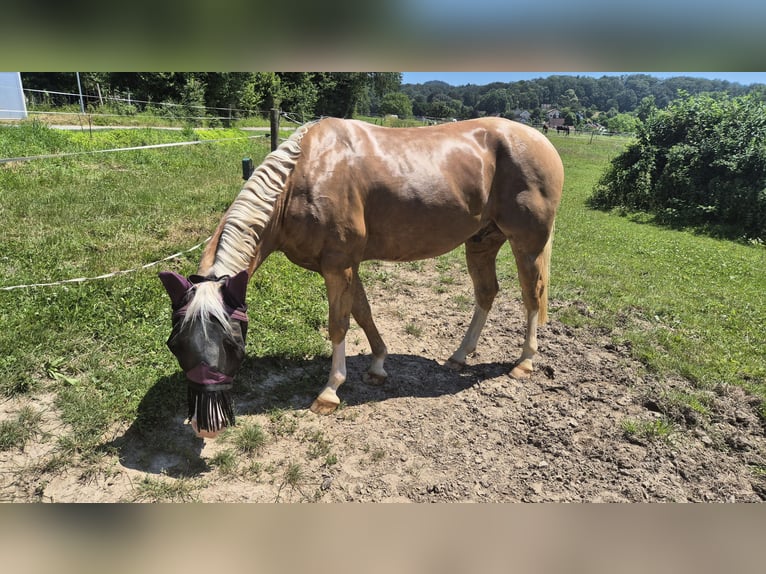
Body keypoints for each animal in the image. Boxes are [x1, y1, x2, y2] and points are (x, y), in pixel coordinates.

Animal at [159, 118, 564, 440]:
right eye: (175, 344)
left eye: (233, 343)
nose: (205, 427)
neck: (304, 175)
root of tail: (540, 141)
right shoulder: (346, 265)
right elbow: (363, 312)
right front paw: (378, 366)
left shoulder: (338, 267)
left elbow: (339, 324)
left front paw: (330, 392)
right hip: (482, 242)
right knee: (486, 293)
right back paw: (460, 356)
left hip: (527, 243)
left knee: (531, 295)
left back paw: (524, 362)